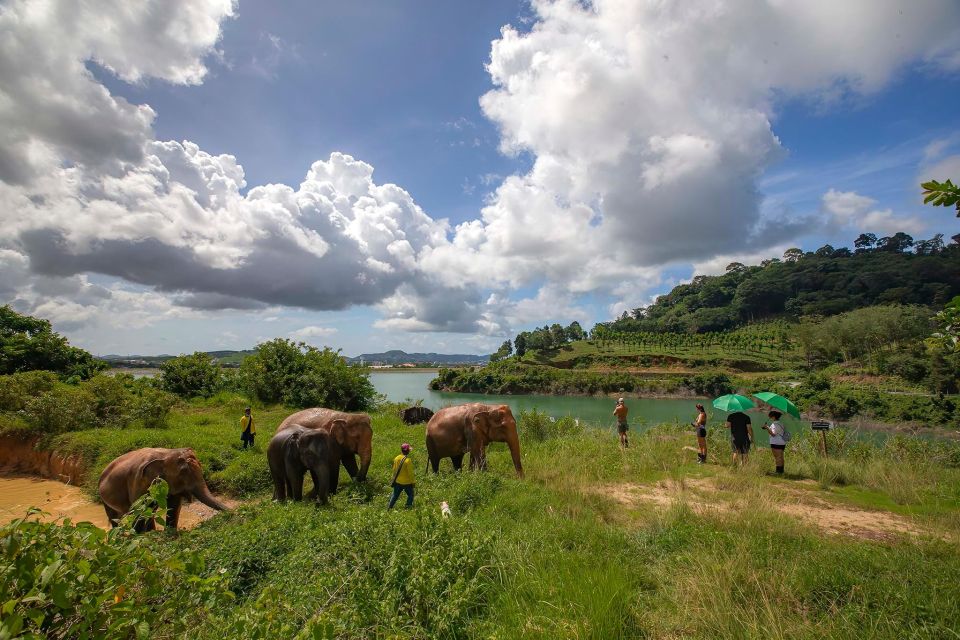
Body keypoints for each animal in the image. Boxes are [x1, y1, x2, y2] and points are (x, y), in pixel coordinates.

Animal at [97, 444, 227, 528]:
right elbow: (140, 509)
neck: (167, 453)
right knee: (114, 518)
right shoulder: (137, 481)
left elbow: (174, 505)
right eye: (183, 471)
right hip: (104, 498)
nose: (230, 512)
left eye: (200, 465)